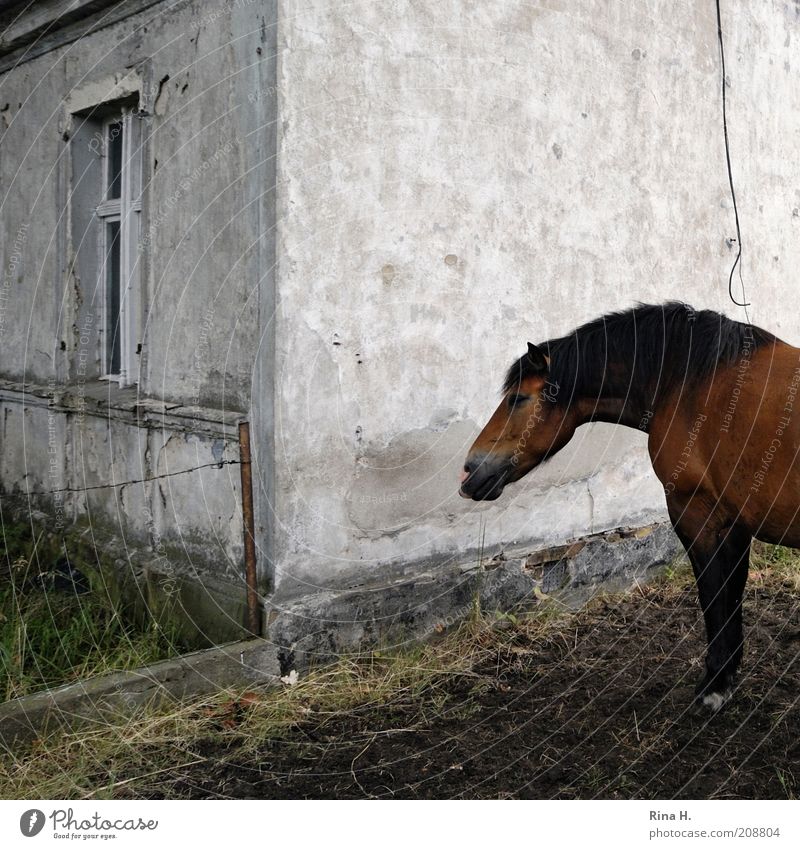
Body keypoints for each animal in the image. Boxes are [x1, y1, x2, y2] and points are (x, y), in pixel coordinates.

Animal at [460, 302, 796, 712]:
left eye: (518, 398)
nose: (470, 469)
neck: (691, 386)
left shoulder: (698, 515)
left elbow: (713, 595)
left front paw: (714, 686)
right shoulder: (734, 522)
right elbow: (730, 594)